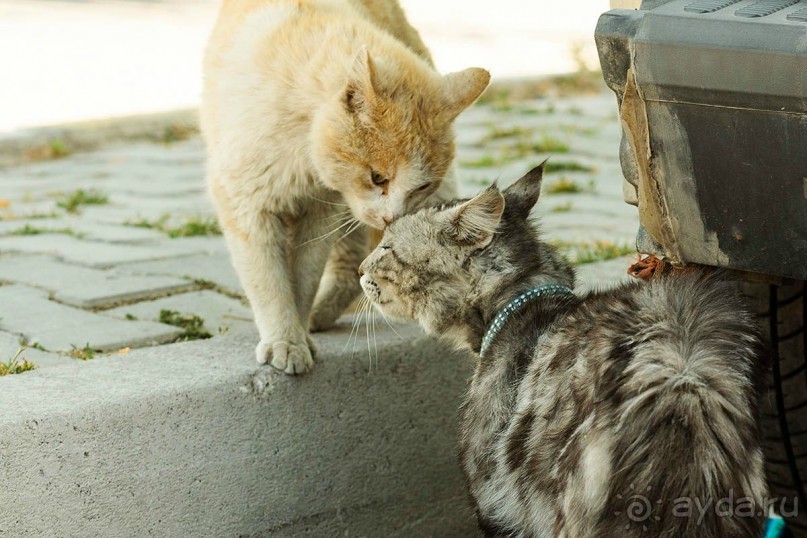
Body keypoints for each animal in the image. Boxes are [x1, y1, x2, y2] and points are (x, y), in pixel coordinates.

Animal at [202, 0, 492, 372]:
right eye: (378, 177)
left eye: (421, 187)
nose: (392, 216)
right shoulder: (248, 205)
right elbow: (268, 280)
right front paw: (285, 338)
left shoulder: (321, 211)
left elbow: (304, 277)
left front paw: (297, 334)